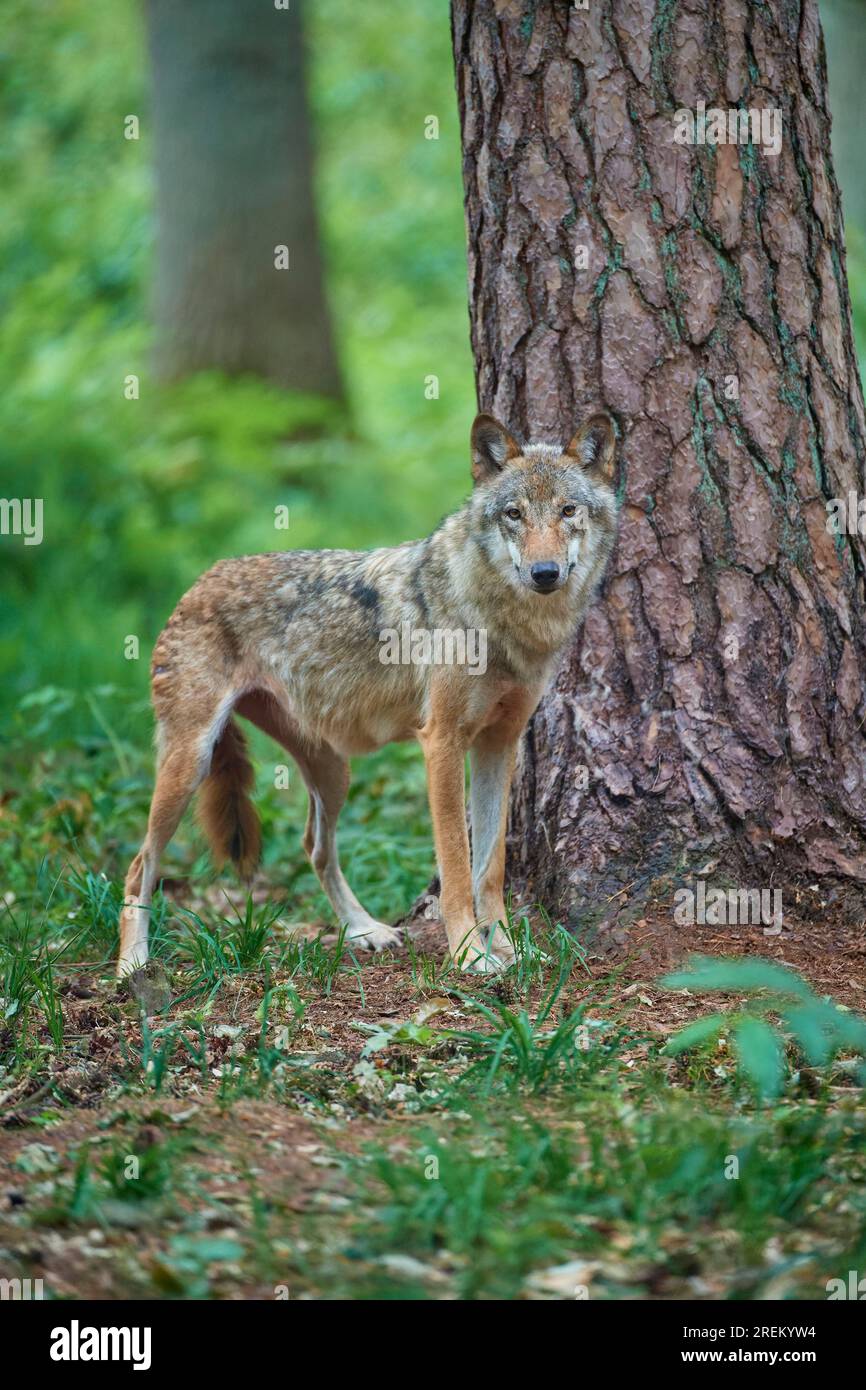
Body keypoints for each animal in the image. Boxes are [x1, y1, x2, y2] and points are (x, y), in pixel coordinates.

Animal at [117, 412, 619, 977]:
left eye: (567, 510)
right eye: (514, 514)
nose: (544, 573)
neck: (507, 622)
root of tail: (197, 582)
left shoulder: (499, 744)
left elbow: (490, 867)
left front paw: (511, 949)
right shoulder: (442, 742)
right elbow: (456, 864)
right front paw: (470, 954)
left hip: (334, 771)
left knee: (314, 846)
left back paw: (366, 931)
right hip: (191, 762)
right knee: (139, 865)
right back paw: (131, 967)